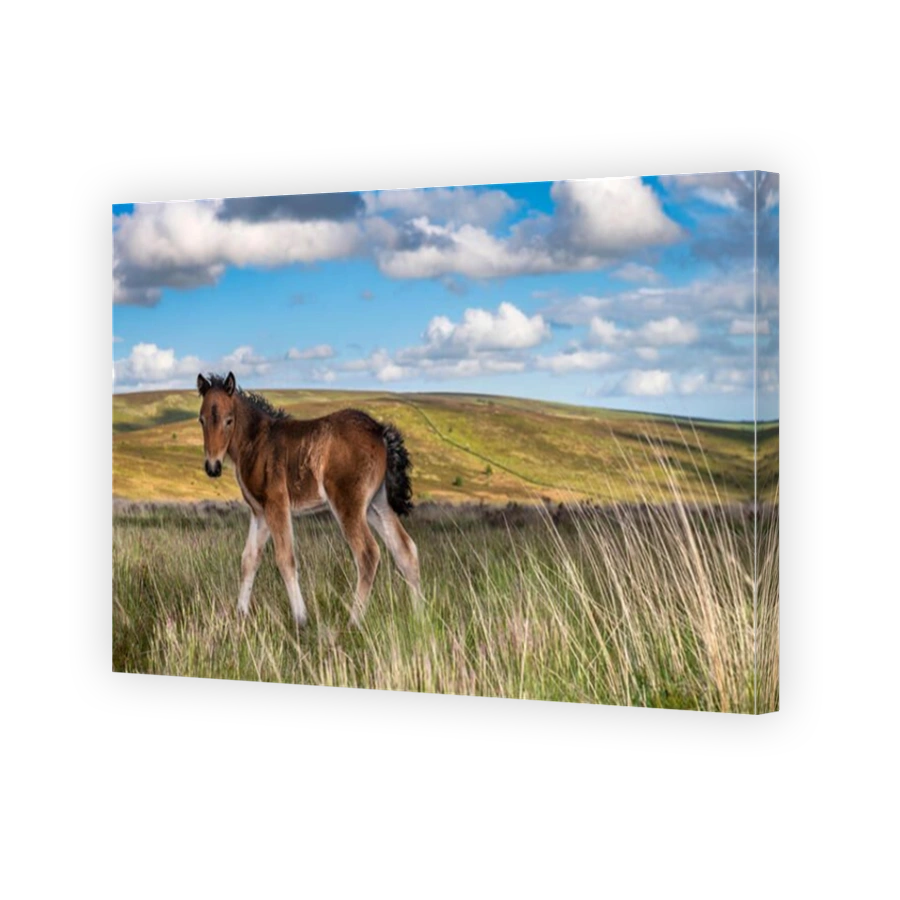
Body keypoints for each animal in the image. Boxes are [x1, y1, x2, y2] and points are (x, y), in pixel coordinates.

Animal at [197, 372, 421, 627]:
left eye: (229, 420)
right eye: (201, 420)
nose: (212, 467)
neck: (256, 442)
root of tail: (379, 431)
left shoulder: (276, 505)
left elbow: (285, 559)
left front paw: (301, 618)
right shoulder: (260, 513)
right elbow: (249, 560)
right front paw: (240, 615)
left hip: (348, 504)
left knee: (368, 554)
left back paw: (353, 622)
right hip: (377, 505)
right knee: (405, 550)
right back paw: (419, 615)